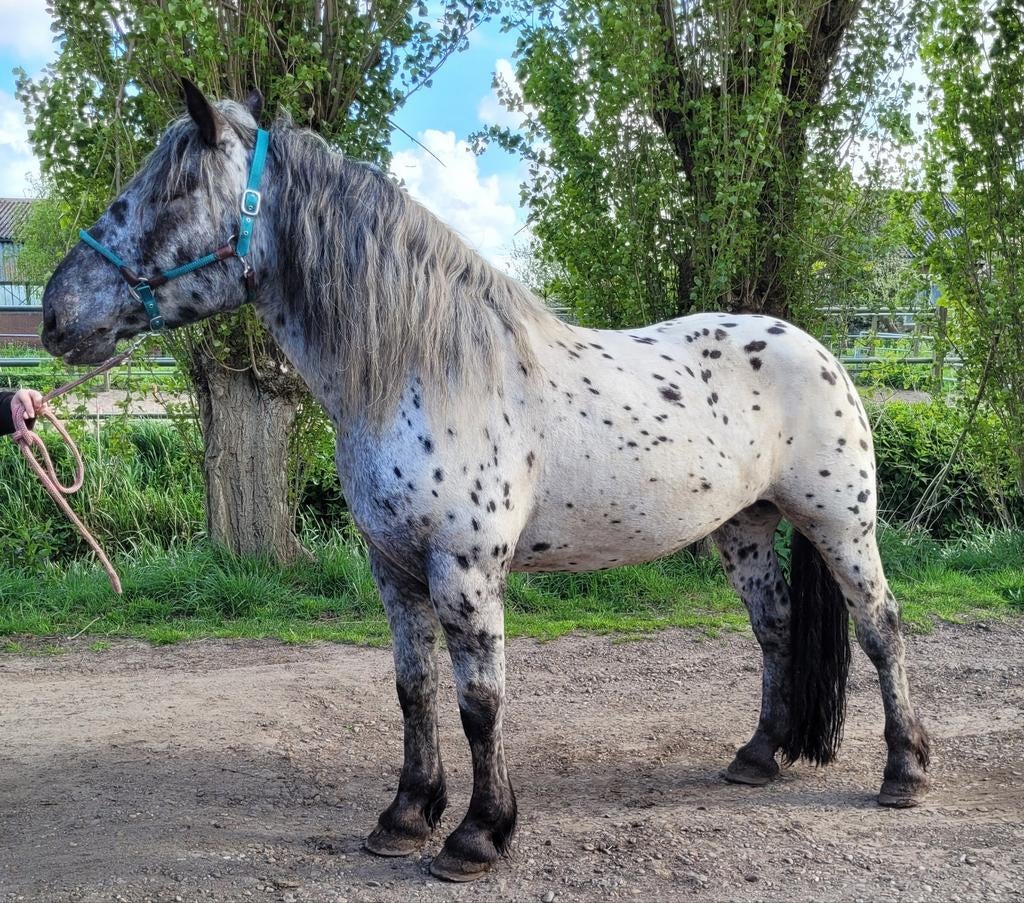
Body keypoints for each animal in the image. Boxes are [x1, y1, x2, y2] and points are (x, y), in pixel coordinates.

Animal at [40, 82, 931, 883]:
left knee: (881, 628)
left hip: (842, 526)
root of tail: (818, 349)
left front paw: (477, 835)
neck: (421, 368)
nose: (56, 313)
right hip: (745, 527)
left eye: (175, 189)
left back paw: (906, 772)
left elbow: (480, 701)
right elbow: (414, 688)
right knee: (775, 629)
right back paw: (757, 756)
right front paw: (404, 817)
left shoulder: (465, 573)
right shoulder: (394, 569)